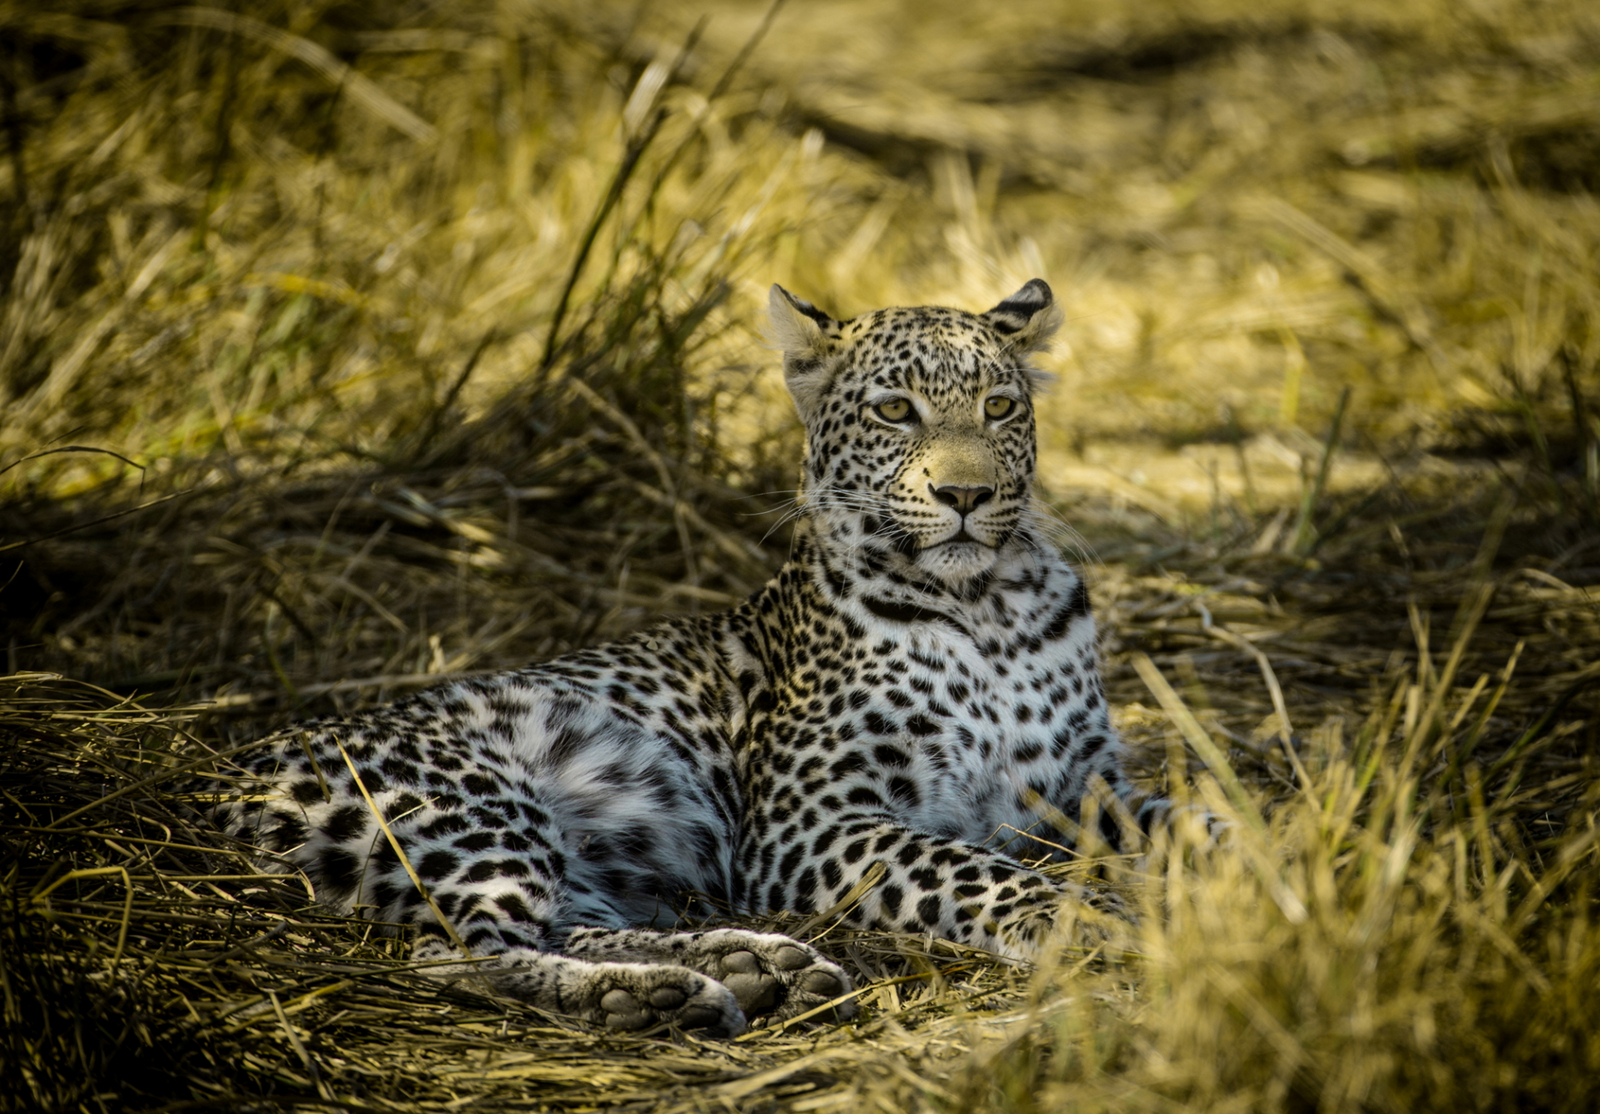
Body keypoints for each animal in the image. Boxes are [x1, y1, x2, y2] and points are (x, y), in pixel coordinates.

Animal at [208, 278, 1166, 1038]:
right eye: (896, 411)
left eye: (999, 408)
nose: (967, 494)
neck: (988, 609)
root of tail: (221, 770)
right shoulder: (807, 821)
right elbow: (968, 864)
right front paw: (1072, 916)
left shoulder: (1087, 787)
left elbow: (1186, 818)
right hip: (465, 807)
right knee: (461, 955)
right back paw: (659, 996)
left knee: (557, 924)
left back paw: (756, 968)